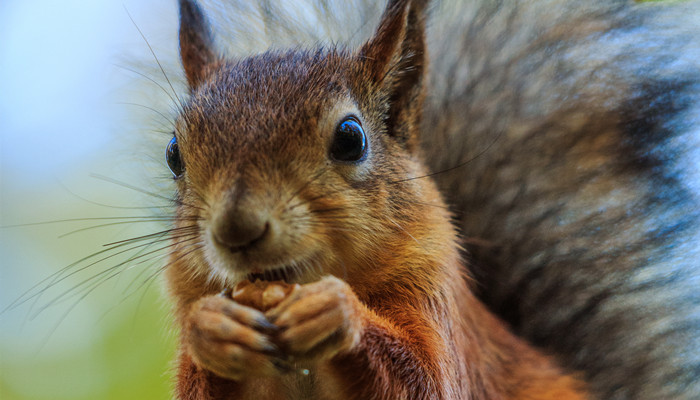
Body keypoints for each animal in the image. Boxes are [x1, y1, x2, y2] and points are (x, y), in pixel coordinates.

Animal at [160, 0, 700, 400]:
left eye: (351, 139)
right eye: (173, 154)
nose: (236, 229)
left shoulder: (436, 302)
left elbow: (426, 380)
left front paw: (337, 311)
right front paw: (213, 328)